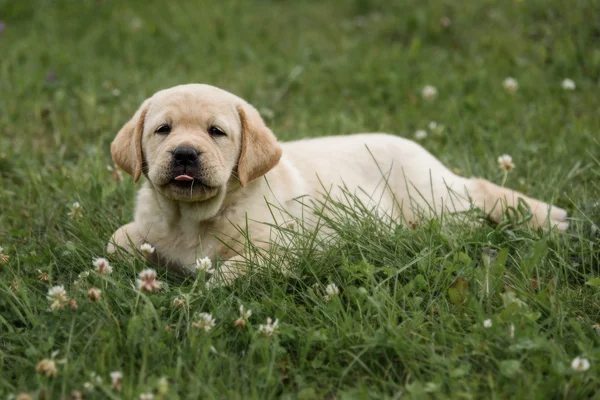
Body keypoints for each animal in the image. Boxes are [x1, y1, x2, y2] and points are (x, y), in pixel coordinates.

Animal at [105, 83, 568, 284]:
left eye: (216, 132)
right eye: (163, 130)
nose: (185, 154)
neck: (192, 217)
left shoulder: (281, 250)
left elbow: (225, 272)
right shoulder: (147, 226)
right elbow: (116, 241)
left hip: (433, 202)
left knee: (476, 198)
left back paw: (547, 217)